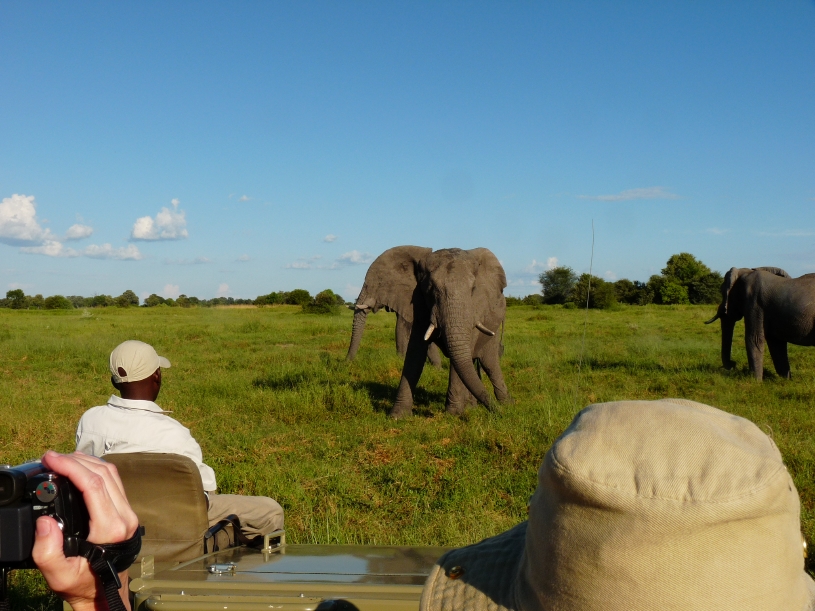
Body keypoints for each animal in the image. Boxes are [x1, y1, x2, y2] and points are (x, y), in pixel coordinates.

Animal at [348, 246, 511, 418]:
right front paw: (397, 416)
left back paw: (506, 404)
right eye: (430, 289)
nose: (347, 362)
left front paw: (453, 414)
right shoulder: (418, 301)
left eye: (473, 289)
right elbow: (415, 354)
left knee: (489, 363)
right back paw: (475, 406)